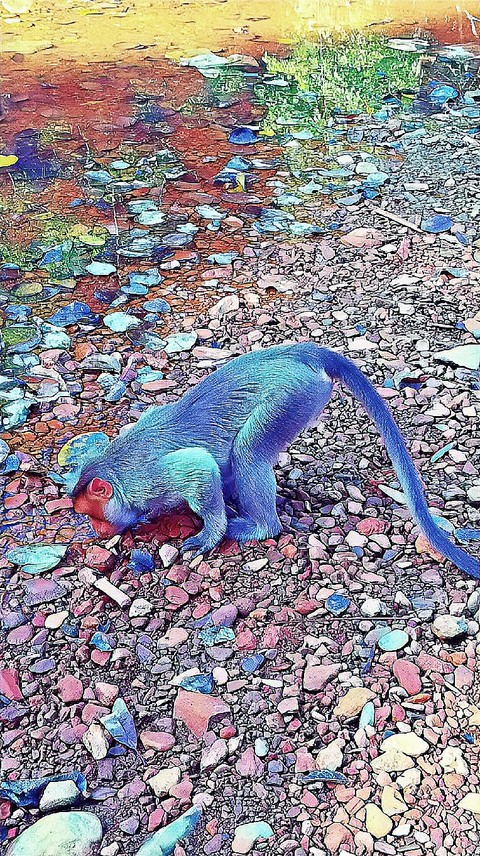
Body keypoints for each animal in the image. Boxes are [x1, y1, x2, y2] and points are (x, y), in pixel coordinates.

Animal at [71, 342, 479, 579]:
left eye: (93, 514)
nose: (98, 532)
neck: (117, 468)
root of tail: (299, 353)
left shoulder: (150, 480)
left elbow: (199, 466)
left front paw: (211, 531)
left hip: (294, 393)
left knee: (248, 450)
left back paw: (261, 526)